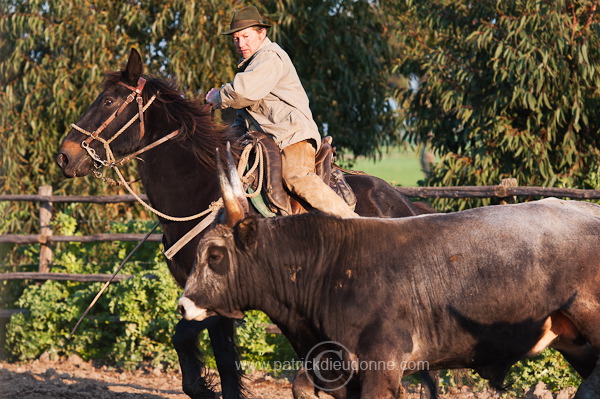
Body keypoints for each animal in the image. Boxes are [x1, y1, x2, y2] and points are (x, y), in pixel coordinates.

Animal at [56, 50, 436, 399]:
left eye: (107, 101)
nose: (64, 156)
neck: (201, 189)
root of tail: (404, 203)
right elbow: (208, 354)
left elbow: (205, 350)